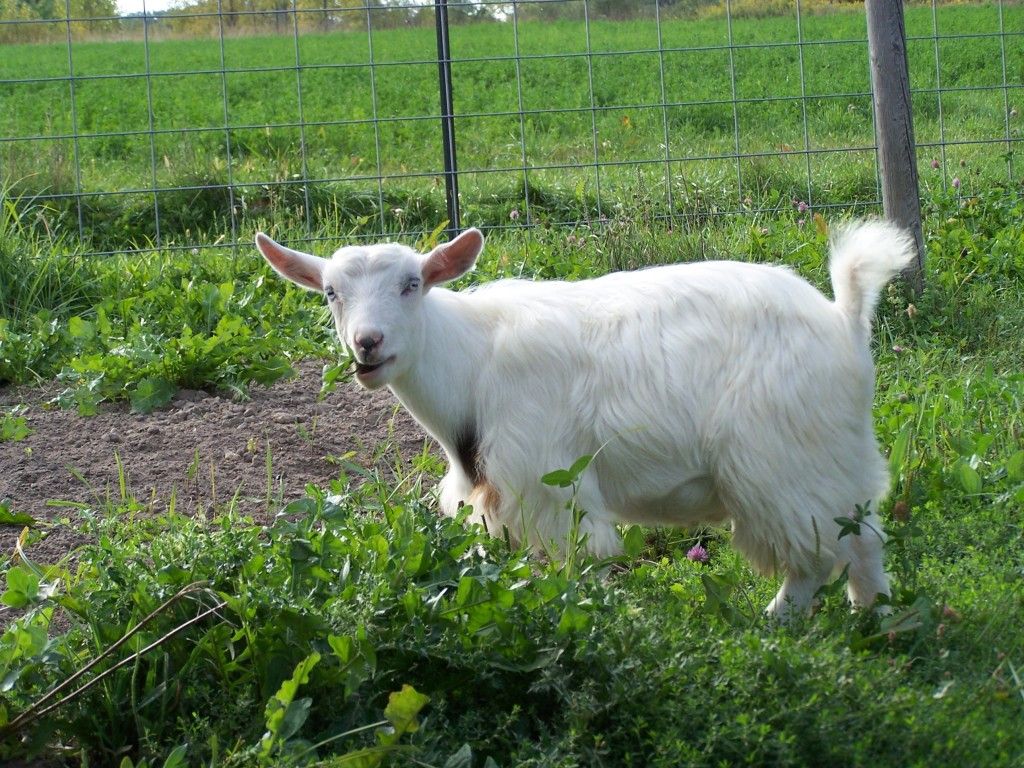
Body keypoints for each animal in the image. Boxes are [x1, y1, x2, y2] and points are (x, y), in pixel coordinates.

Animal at [255, 221, 914, 619]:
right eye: (330, 293)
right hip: (835, 456)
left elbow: (581, 563)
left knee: (816, 552)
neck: (472, 358)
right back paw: (878, 617)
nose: (368, 345)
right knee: (863, 537)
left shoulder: (550, 484)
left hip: (781, 462)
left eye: (412, 284)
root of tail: (844, 322)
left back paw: (776, 620)